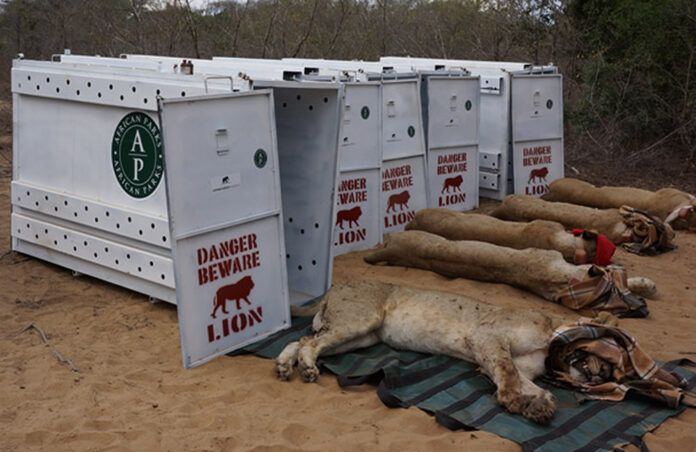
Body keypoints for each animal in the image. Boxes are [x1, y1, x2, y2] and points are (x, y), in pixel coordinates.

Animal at [274, 280, 616, 426]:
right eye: (608, 355)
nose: (599, 375)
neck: (550, 337)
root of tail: (333, 287)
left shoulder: (499, 358)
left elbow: (532, 385)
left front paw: (540, 406)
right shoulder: (486, 337)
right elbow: (508, 376)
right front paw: (515, 402)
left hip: (363, 337)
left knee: (302, 339)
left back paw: (284, 367)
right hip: (360, 320)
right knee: (309, 342)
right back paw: (306, 369)